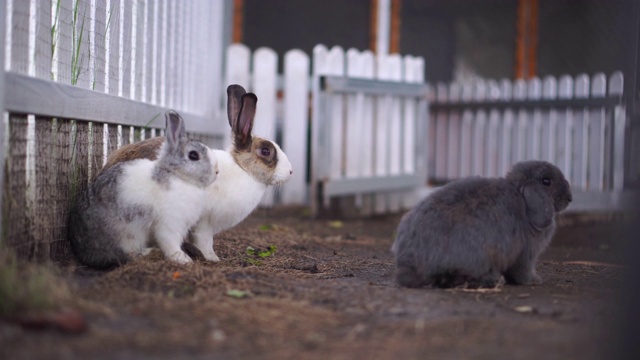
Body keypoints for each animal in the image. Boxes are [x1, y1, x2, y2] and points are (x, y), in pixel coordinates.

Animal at [68, 111, 218, 268]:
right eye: (193, 155)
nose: (217, 172)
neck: (176, 176)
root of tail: (82, 251)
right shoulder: (169, 223)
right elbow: (170, 242)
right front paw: (183, 259)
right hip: (128, 237)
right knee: (128, 255)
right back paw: (150, 252)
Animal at [99, 84, 292, 262]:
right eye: (266, 151)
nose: (290, 171)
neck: (242, 169)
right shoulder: (204, 223)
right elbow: (205, 241)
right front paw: (213, 258)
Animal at [392, 160, 572, 286]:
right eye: (546, 181)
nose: (570, 197)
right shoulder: (526, 255)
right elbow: (523, 270)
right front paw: (534, 280)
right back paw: (494, 280)